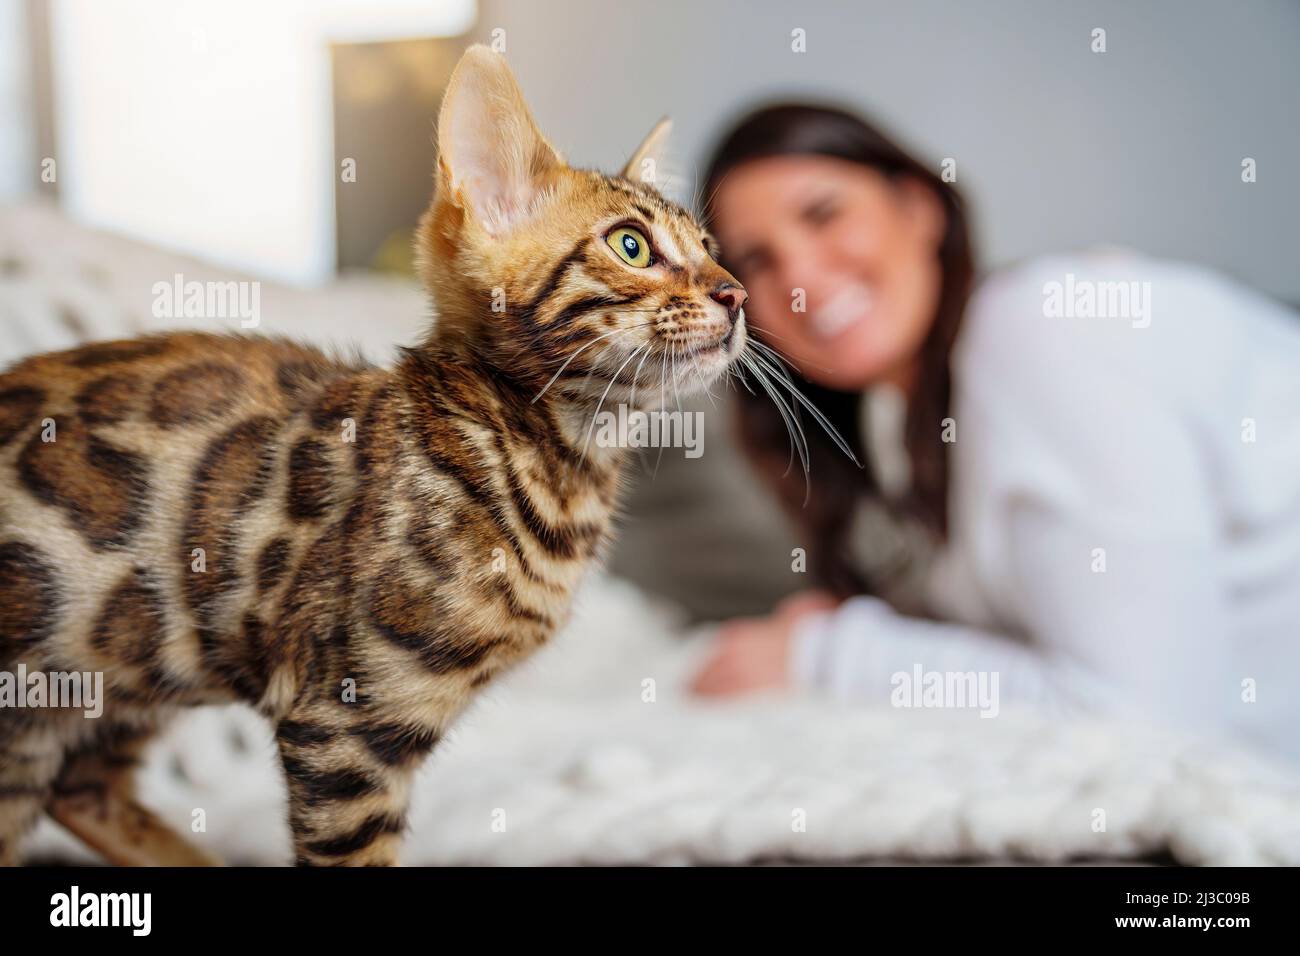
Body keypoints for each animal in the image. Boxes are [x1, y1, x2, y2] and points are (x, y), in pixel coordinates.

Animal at [0, 44, 748, 868]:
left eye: (709, 251)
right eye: (631, 245)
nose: (738, 294)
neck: (553, 464)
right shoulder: (347, 724)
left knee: (82, 787)